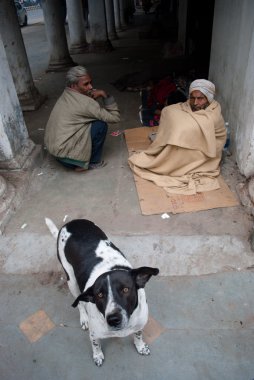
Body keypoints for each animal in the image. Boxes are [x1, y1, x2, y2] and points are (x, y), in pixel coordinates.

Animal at [44, 218, 158, 366]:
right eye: (99, 295)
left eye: (125, 289)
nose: (113, 319)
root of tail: (71, 223)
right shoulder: (94, 334)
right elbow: (95, 345)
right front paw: (97, 355)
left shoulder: (139, 325)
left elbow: (138, 336)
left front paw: (141, 347)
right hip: (71, 281)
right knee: (79, 303)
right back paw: (84, 318)